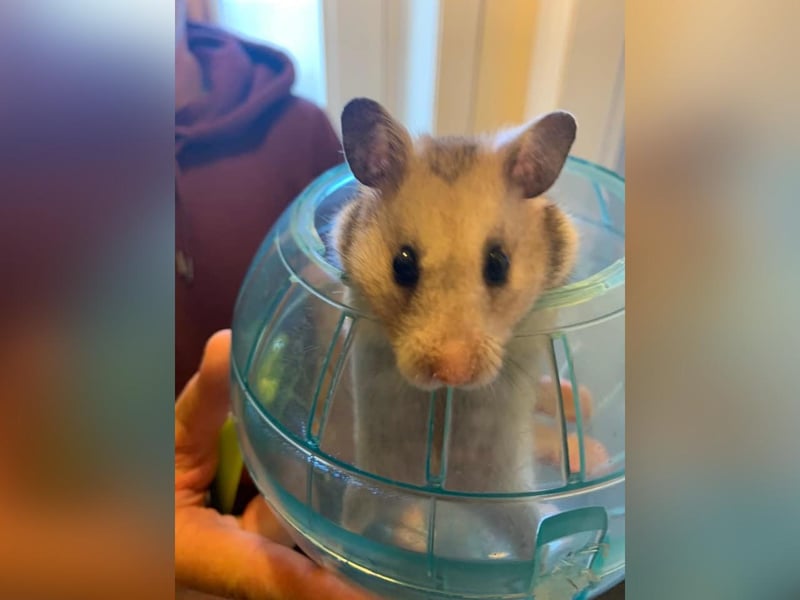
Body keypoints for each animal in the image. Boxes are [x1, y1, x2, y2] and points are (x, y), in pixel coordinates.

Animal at [331, 97, 582, 557]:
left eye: (499, 263)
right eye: (402, 264)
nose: (452, 373)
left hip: (510, 496)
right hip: (366, 486)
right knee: (351, 524)